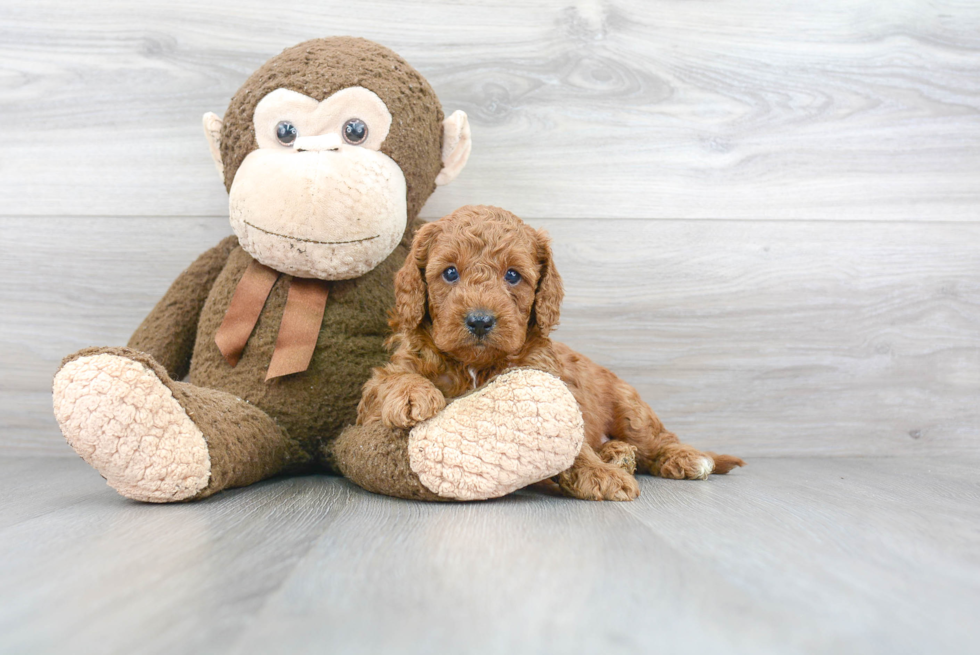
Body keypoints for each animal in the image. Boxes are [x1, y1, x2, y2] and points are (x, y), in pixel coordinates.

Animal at [360, 206, 744, 502]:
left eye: (513, 275)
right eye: (450, 272)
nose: (480, 321)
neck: (475, 364)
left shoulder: (547, 385)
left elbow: (570, 441)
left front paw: (598, 474)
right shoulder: (374, 400)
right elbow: (388, 379)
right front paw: (413, 394)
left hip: (629, 407)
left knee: (656, 439)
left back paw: (684, 458)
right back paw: (617, 455)